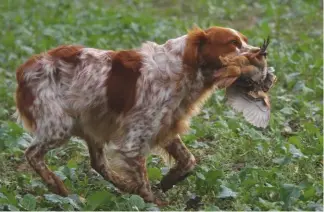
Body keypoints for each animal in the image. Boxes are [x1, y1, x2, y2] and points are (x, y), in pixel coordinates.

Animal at [15, 25, 264, 205]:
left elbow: (188, 160)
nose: (262, 52)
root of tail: (24, 68)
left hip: (92, 124)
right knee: (32, 154)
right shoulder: (134, 140)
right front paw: (152, 201)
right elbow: (144, 180)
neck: (183, 68)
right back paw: (59, 188)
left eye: (244, 40)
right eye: (233, 43)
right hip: (60, 126)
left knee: (98, 164)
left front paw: (167, 181)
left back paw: (121, 186)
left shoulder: (165, 125)